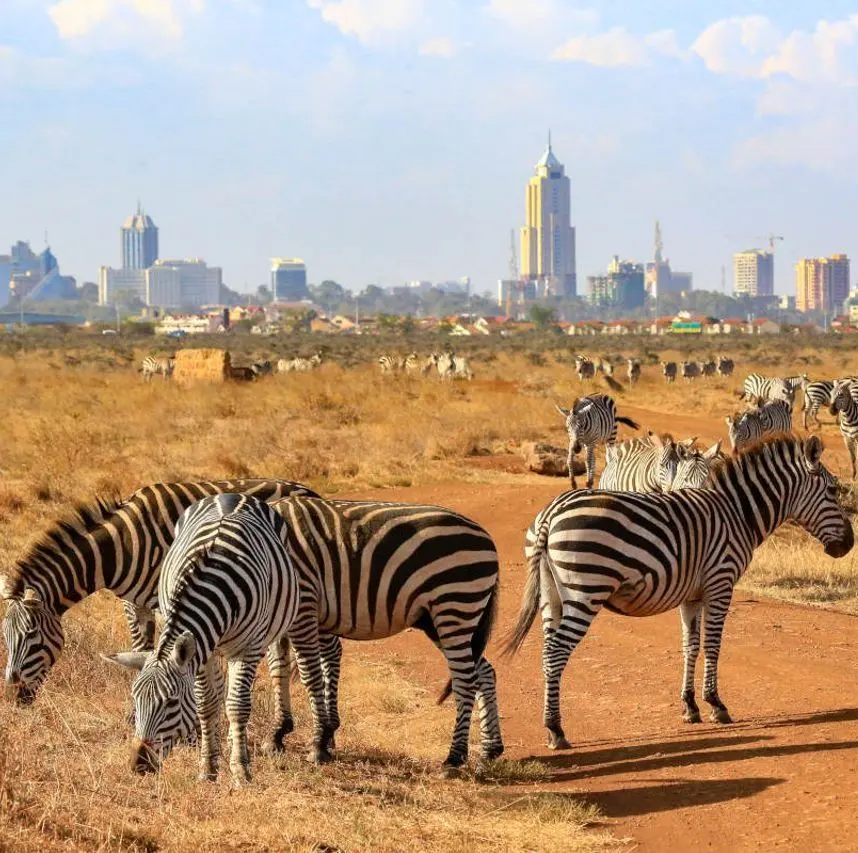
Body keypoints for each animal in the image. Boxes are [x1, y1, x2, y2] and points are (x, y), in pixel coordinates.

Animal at [0, 478, 317, 754]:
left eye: (31, 635)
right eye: (5, 637)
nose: (13, 695)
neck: (122, 546)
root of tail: (306, 489)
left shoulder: (164, 601)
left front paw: (189, 731)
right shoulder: (135, 603)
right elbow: (142, 651)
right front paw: (138, 717)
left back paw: (280, 732)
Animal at [105, 495, 301, 785]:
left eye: (171, 702)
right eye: (134, 699)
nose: (138, 765)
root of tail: (231, 495)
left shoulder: (248, 647)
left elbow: (238, 705)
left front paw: (241, 770)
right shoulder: (200, 650)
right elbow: (206, 704)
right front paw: (208, 767)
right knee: (219, 692)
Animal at [265, 497, 503, 771]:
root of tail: (486, 537)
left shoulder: (304, 605)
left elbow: (309, 675)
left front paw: (317, 745)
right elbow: (278, 669)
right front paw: (278, 733)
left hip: (454, 605)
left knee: (465, 679)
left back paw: (454, 757)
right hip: (441, 619)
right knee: (483, 671)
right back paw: (490, 749)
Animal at [505, 434, 852, 751]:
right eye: (833, 491)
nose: (848, 545)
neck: (737, 513)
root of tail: (552, 512)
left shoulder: (692, 595)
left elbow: (691, 646)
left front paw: (690, 706)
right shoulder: (720, 583)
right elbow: (713, 646)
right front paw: (716, 705)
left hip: (551, 595)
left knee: (547, 651)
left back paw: (552, 726)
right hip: (585, 590)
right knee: (556, 652)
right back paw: (556, 730)